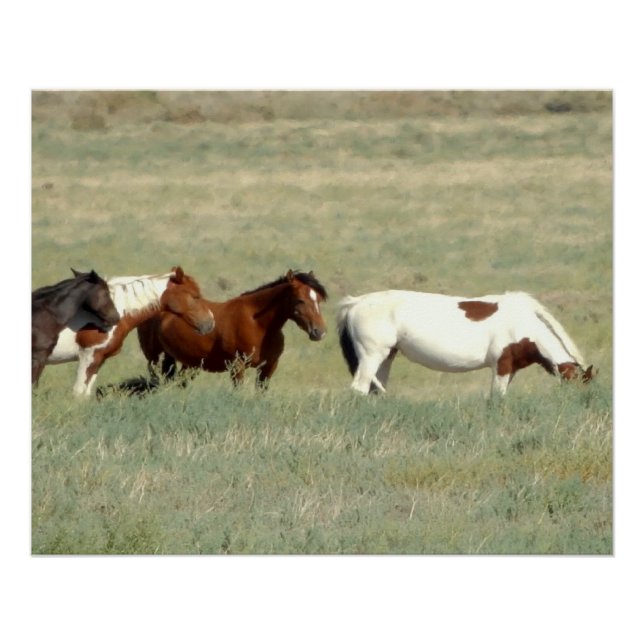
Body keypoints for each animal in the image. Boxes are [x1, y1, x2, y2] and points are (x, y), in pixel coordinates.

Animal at [137, 269, 328, 389]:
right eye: (300, 300)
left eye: (318, 299)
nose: (319, 332)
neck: (258, 324)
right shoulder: (237, 366)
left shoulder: (269, 367)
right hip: (154, 358)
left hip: (185, 363)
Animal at [336, 289, 593, 396]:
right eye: (576, 382)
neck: (522, 322)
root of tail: (355, 303)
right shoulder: (501, 366)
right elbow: (497, 397)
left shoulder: (511, 369)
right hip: (372, 356)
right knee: (360, 388)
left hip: (386, 357)